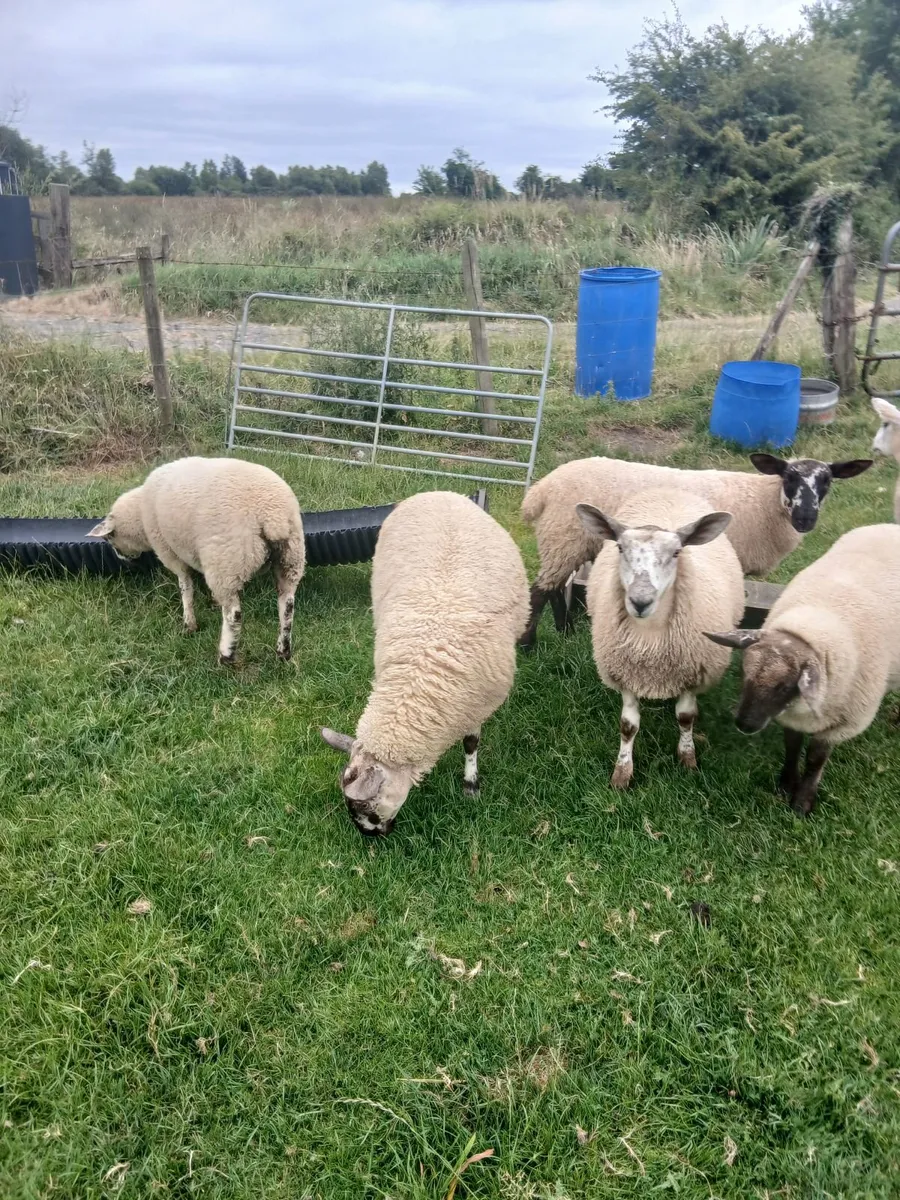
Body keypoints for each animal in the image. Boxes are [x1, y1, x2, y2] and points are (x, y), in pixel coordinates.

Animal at [89, 456, 305, 665]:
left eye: (110, 538)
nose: (121, 558)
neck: (140, 514)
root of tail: (273, 517)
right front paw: (212, 603)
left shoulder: (170, 552)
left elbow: (185, 587)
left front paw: (189, 623)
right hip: (291, 559)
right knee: (287, 606)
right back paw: (283, 651)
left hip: (227, 561)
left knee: (234, 614)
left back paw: (226, 656)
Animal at [320, 490, 529, 836]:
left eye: (366, 807)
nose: (372, 837)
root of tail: (440, 492)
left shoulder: (476, 703)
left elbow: (471, 743)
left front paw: (470, 785)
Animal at [519, 452, 873, 649]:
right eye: (788, 477)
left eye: (827, 481)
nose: (805, 518)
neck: (764, 501)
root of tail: (541, 490)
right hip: (564, 536)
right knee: (540, 590)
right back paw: (527, 644)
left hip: (565, 541)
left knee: (554, 587)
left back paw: (563, 631)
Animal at [578, 487, 744, 789]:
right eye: (620, 548)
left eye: (677, 552)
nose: (640, 601)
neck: (650, 640)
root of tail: (669, 489)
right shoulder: (627, 674)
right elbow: (628, 725)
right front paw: (622, 773)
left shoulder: (692, 674)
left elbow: (686, 717)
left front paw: (688, 759)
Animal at [706, 523, 900, 816]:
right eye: (742, 672)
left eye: (786, 685)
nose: (744, 724)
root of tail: (890, 526)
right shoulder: (790, 716)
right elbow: (792, 747)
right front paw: (786, 784)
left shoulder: (841, 725)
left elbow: (816, 759)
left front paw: (803, 802)